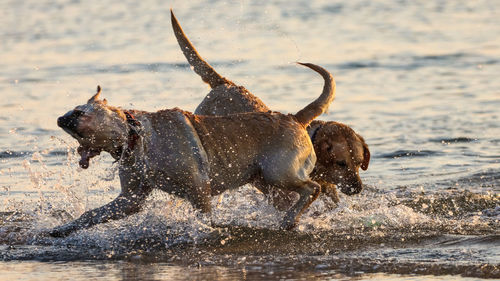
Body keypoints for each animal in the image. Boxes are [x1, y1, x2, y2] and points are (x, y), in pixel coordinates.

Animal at [49, 59, 336, 236]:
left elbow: (203, 217)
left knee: (313, 188)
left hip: (278, 173)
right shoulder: (130, 199)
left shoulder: (198, 187)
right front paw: (62, 229)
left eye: (78, 112)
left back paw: (290, 219)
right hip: (268, 180)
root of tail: (295, 118)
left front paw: (205, 231)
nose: (59, 119)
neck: (137, 137)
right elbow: (91, 215)